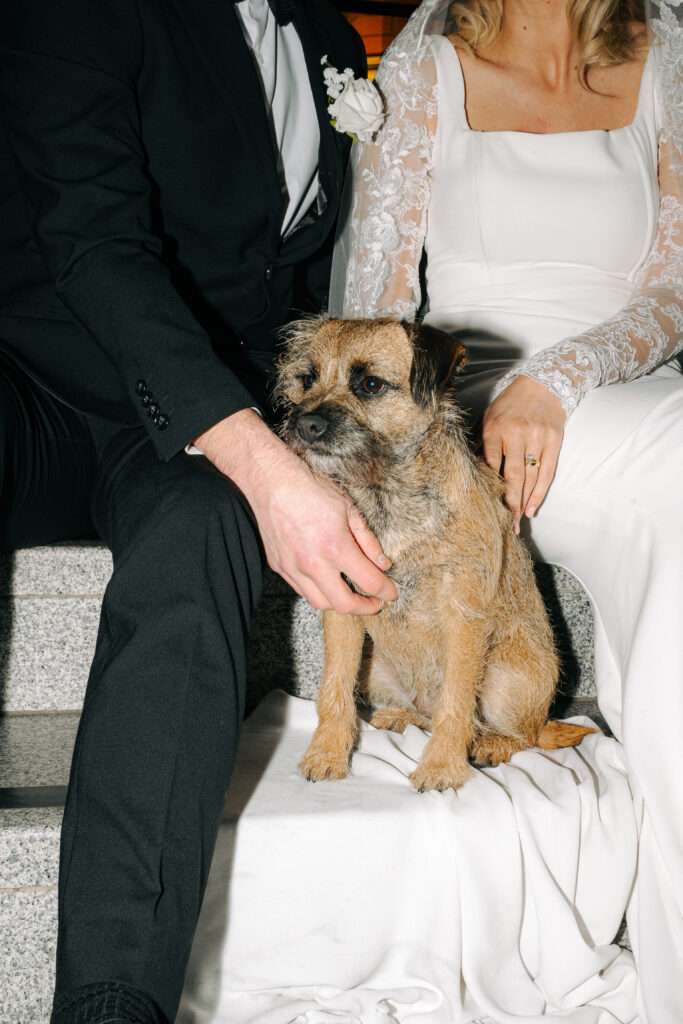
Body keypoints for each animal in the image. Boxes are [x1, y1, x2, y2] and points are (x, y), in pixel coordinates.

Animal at [274, 317, 593, 790]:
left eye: (370, 384)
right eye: (307, 379)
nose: (307, 424)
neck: (388, 494)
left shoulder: (463, 613)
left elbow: (455, 703)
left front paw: (442, 766)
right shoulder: (344, 605)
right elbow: (333, 689)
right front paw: (326, 754)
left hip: (505, 682)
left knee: (526, 735)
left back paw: (491, 744)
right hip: (379, 670)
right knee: (421, 712)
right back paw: (398, 717)